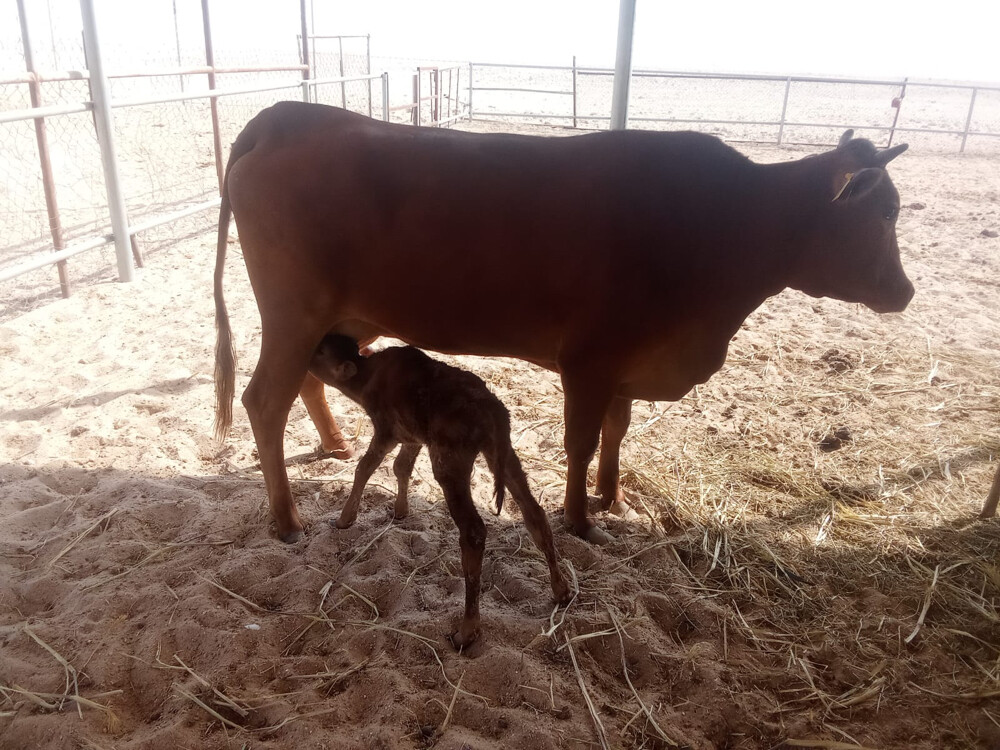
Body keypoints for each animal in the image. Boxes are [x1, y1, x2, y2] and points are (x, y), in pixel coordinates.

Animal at [213, 101, 913, 545]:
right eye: (883, 212)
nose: (905, 291)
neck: (722, 222)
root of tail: (287, 115)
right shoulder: (589, 360)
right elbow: (580, 442)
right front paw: (579, 520)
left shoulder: (625, 365)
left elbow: (615, 433)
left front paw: (613, 498)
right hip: (293, 313)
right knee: (264, 401)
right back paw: (286, 520)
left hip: (342, 318)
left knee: (310, 378)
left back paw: (333, 446)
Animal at [308, 334, 571, 647]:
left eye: (321, 351)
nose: (304, 353)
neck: (368, 375)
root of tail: (492, 411)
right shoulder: (412, 436)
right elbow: (401, 467)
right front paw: (400, 511)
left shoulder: (386, 430)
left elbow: (365, 467)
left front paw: (344, 519)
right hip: (504, 455)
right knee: (534, 513)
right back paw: (561, 591)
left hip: (450, 463)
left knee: (473, 531)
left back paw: (466, 631)